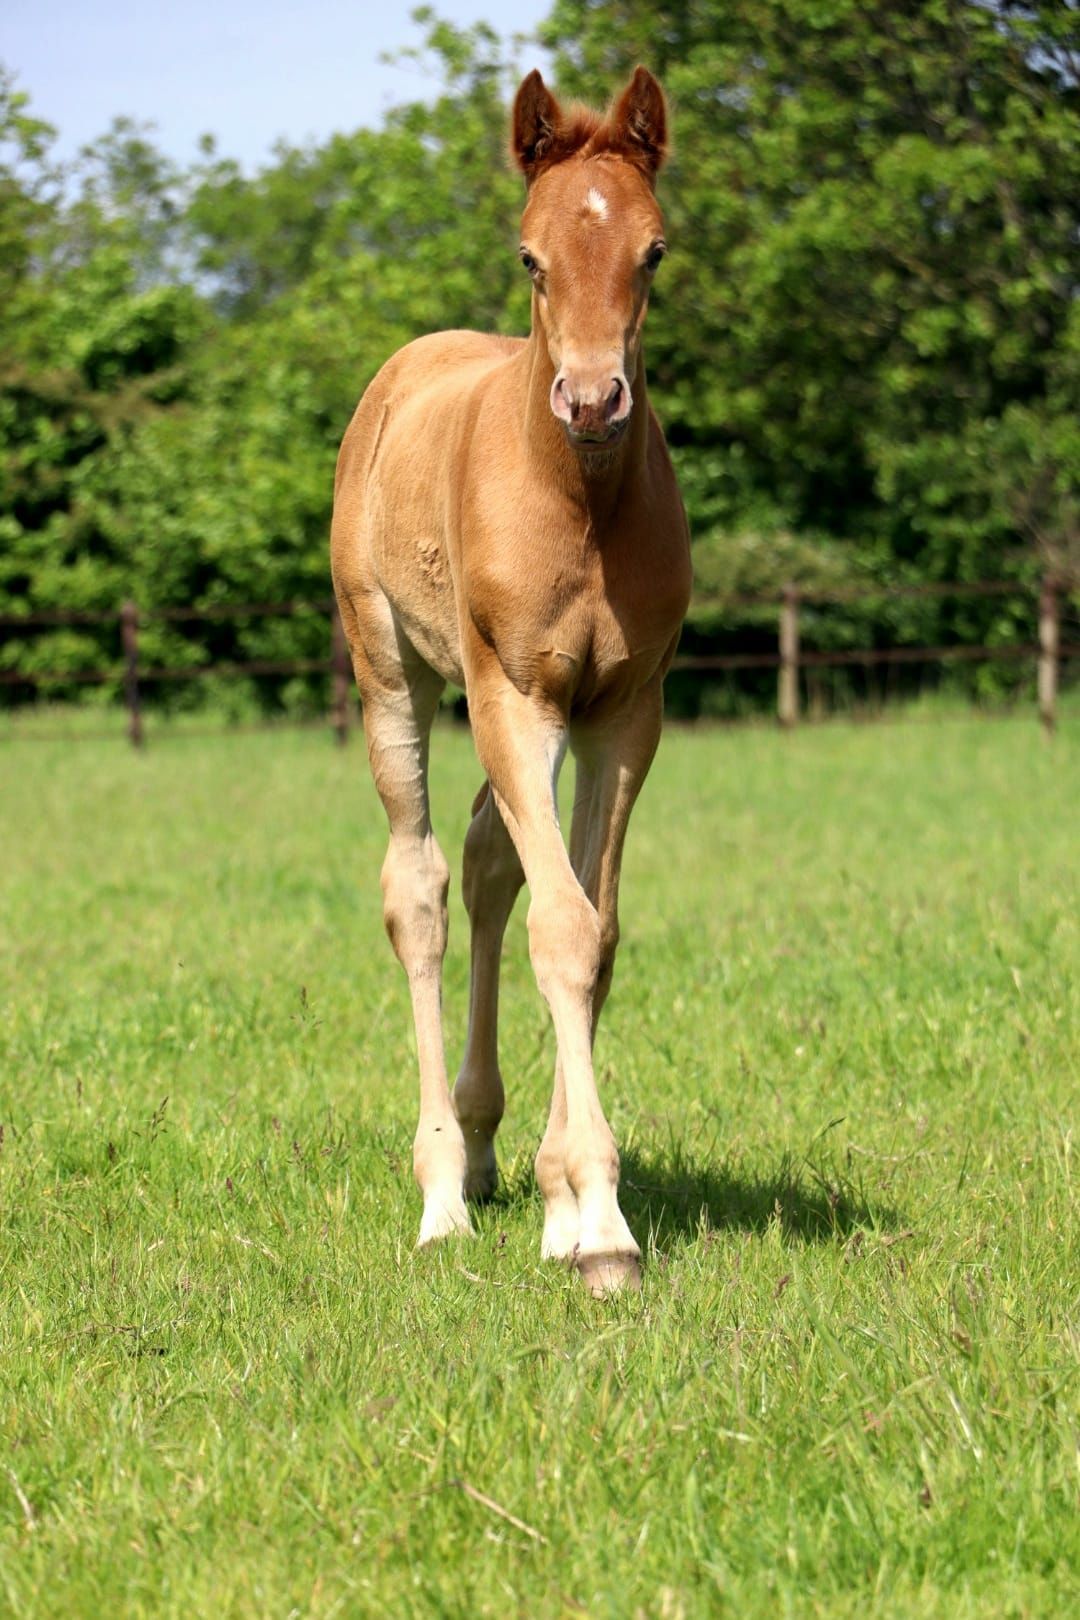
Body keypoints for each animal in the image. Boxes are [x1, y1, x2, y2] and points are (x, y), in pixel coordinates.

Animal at [330, 66, 691, 1294]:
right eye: (531, 255)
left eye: (654, 251)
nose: (590, 400)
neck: (576, 501)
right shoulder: (514, 697)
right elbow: (561, 930)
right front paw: (602, 1222)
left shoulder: (623, 714)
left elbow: (595, 932)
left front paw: (567, 1207)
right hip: (396, 673)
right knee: (422, 889)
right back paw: (443, 1189)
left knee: (491, 865)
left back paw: (489, 1155)